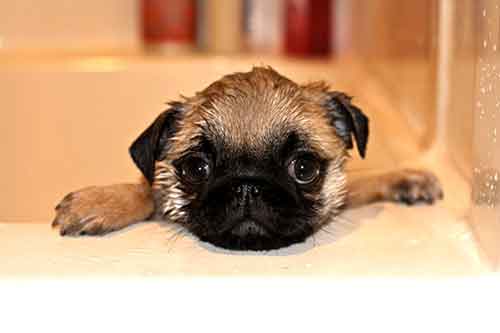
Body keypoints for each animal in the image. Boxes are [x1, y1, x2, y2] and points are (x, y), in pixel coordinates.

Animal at [51, 67, 442, 249]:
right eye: (196, 168)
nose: (247, 185)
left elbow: (365, 179)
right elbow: (148, 189)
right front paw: (102, 201)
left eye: (304, 168)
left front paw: (407, 178)